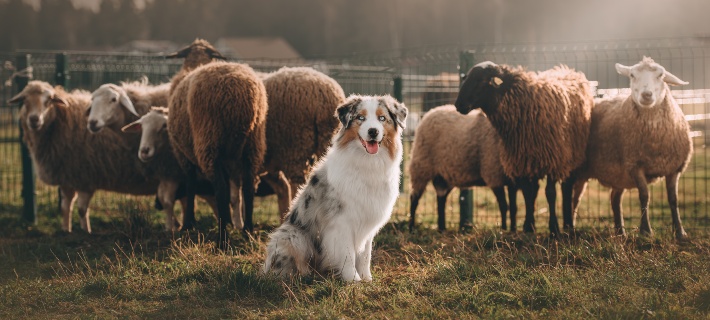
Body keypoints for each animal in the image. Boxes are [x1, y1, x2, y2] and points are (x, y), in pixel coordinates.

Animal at [264, 94, 408, 282]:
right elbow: (347, 254)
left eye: (382, 118)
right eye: (360, 118)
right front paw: (353, 280)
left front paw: (367, 279)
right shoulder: (341, 221)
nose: (373, 132)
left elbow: (365, 255)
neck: (367, 162)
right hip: (292, 235)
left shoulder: (368, 219)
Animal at [456, 61, 596, 235]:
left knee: (566, 188)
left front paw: (554, 228)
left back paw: (568, 224)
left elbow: (550, 193)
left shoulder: (553, 158)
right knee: (536, 189)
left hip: (570, 156)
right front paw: (528, 227)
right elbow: (528, 194)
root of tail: (569, 70)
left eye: (480, 80)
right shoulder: (521, 160)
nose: (458, 105)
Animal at [572, 56, 696, 239]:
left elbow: (674, 200)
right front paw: (646, 231)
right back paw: (569, 227)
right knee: (573, 198)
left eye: (661, 75)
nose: (646, 94)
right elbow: (644, 196)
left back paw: (620, 232)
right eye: (632, 75)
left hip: (617, 174)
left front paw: (680, 232)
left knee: (614, 199)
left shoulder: (674, 168)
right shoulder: (635, 165)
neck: (655, 141)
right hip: (579, 169)